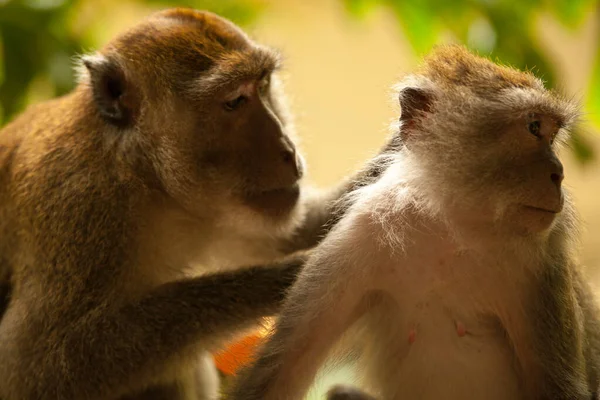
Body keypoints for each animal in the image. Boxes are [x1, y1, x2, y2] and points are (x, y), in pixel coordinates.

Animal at [0, 9, 384, 400]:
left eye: (263, 85)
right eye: (234, 101)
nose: (287, 150)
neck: (142, 176)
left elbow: (283, 235)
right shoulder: (79, 210)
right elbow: (33, 369)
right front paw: (292, 276)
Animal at [227, 45, 600, 400]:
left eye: (551, 134)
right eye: (534, 127)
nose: (558, 174)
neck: (451, 228)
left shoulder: (543, 265)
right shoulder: (356, 238)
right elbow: (278, 375)